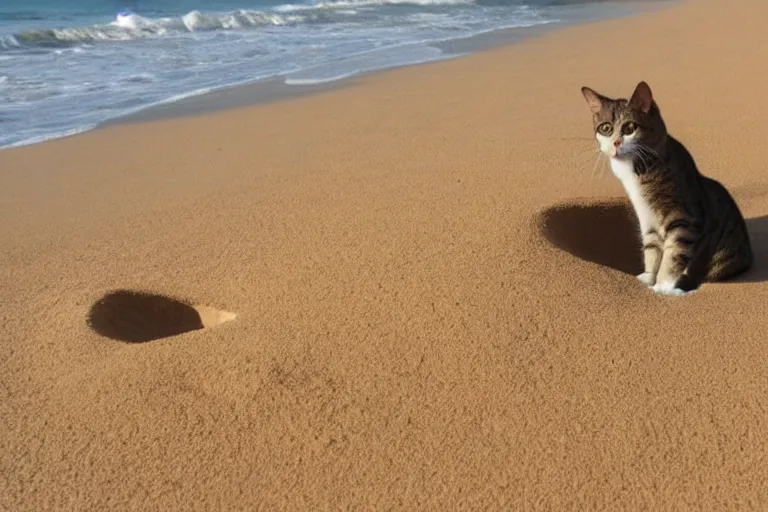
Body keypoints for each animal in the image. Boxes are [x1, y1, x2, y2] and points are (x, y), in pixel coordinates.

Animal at [580, 81, 752, 294]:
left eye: (630, 127)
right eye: (605, 128)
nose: (616, 143)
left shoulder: (683, 218)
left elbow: (673, 255)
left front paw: (663, 288)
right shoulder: (647, 218)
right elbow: (652, 250)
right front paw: (647, 278)